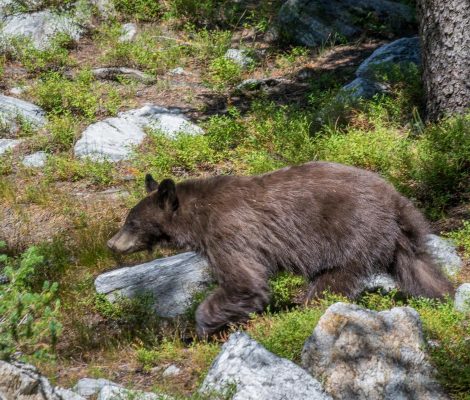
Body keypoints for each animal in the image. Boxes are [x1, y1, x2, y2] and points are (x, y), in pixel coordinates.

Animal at [108, 161, 454, 336]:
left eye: (131, 223)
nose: (111, 243)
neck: (197, 218)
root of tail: (395, 198)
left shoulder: (231, 232)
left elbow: (245, 283)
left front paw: (201, 328)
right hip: (400, 239)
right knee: (420, 268)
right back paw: (446, 297)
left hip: (353, 234)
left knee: (333, 281)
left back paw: (308, 311)